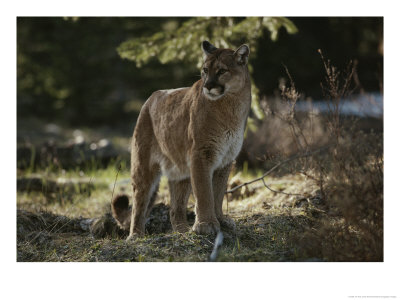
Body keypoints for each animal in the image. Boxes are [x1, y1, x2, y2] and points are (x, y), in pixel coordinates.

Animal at [111, 40, 252, 239]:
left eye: (221, 71)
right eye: (205, 70)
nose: (207, 86)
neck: (231, 105)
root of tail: (151, 97)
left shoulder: (226, 159)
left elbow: (218, 194)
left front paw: (221, 220)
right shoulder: (201, 154)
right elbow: (204, 193)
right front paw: (206, 224)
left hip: (181, 169)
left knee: (175, 209)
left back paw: (183, 231)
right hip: (143, 166)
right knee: (139, 201)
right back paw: (136, 235)